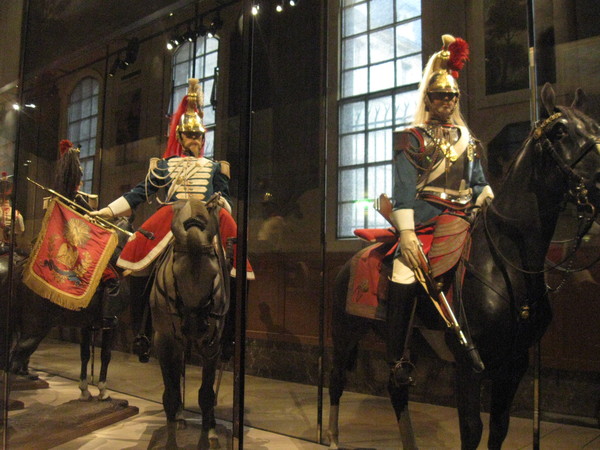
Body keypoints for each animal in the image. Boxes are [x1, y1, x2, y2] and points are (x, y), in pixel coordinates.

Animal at [1, 145, 132, 400]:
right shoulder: (108, 326)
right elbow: (105, 357)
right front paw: (102, 391)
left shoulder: (87, 324)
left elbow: (85, 356)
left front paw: (85, 391)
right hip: (36, 326)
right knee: (14, 358)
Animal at [151, 199, 231, 448]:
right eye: (176, 273)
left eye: (214, 274)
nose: (195, 328)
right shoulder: (164, 342)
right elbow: (170, 394)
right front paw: (171, 442)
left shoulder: (212, 346)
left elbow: (206, 394)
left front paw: (208, 437)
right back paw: (178, 418)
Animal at [328, 85, 600, 450]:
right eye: (560, 131)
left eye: (595, 126)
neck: (508, 262)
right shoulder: (469, 365)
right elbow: (472, 429)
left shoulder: (515, 363)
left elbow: (499, 426)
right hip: (346, 333)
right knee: (336, 380)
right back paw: (331, 438)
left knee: (397, 388)